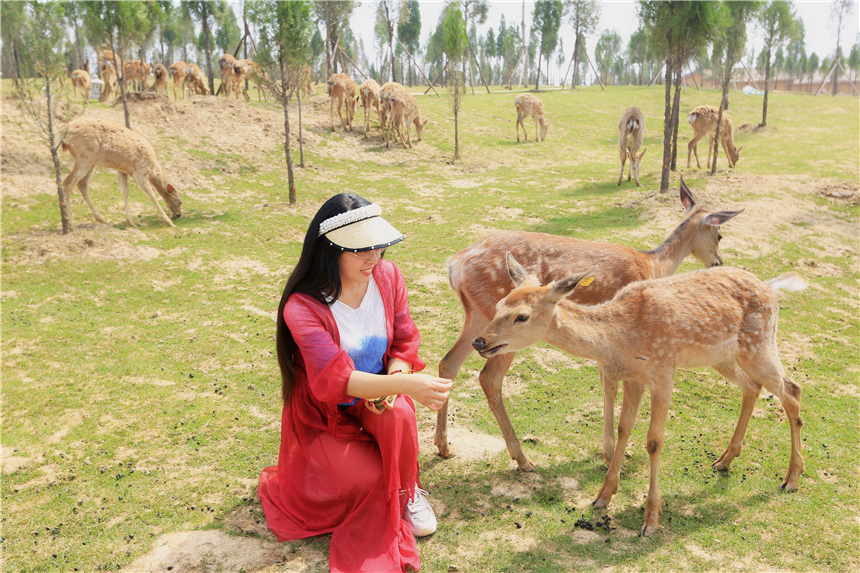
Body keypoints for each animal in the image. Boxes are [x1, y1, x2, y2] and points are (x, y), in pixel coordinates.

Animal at [434, 178, 744, 470]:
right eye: (719, 234)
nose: (718, 262)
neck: (655, 265)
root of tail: (455, 264)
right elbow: (613, 387)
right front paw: (611, 454)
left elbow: (606, 384)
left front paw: (606, 451)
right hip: (503, 331)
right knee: (489, 378)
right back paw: (521, 459)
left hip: (478, 314)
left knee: (448, 362)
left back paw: (444, 447)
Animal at [474, 252, 804, 536]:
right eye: (500, 303)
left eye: (522, 316)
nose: (480, 341)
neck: (621, 339)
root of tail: (771, 288)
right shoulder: (634, 378)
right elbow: (624, 428)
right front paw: (603, 496)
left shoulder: (663, 372)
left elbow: (654, 441)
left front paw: (651, 519)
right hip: (724, 357)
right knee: (753, 387)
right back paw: (724, 461)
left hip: (759, 344)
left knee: (792, 389)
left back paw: (791, 478)